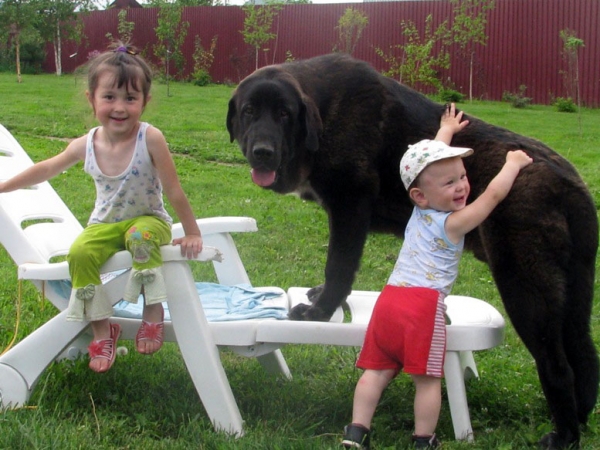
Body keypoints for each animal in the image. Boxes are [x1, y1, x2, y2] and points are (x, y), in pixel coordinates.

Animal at [226, 52, 600, 446]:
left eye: (284, 114)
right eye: (249, 111)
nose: (262, 152)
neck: (325, 113)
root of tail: (569, 181)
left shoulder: (349, 206)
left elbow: (338, 267)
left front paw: (319, 312)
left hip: (525, 289)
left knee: (557, 365)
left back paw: (563, 436)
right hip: (573, 294)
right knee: (584, 355)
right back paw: (577, 420)